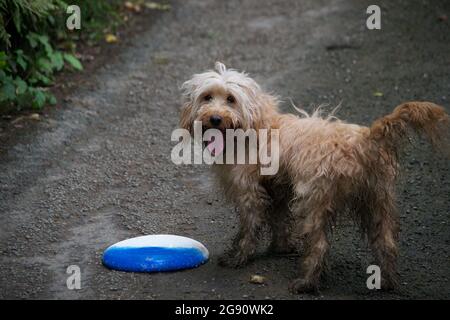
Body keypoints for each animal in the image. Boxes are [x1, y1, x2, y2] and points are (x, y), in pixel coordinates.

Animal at [178, 62, 446, 292]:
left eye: (231, 99)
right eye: (207, 97)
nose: (214, 118)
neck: (256, 126)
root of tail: (366, 140)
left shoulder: (249, 194)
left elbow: (249, 228)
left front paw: (239, 257)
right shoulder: (277, 191)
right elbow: (279, 220)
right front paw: (280, 247)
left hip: (314, 202)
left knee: (319, 245)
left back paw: (305, 283)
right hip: (377, 202)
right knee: (386, 243)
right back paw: (386, 281)